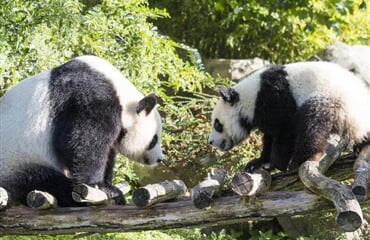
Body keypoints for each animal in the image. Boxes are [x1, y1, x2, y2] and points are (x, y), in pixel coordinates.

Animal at [0, 55, 163, 207]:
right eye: (154, 140)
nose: (159, 159)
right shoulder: (90, 98)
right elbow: (82, 143)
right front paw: (101, 186)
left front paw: (108, 184)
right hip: (18, 161)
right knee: (44, 181)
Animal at [208, 61, 370, 173]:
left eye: (217, 124)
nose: (210, 142)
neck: (252, 97)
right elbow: (270, 136)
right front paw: (258, 163)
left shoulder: (276, 98)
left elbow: (285, 132)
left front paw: (276, 163)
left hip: (331, 100)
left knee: (312, 125)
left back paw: (300, 160)